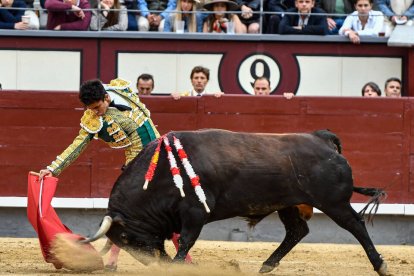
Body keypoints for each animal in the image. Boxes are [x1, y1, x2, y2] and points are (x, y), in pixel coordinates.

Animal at [88, 129, 388, 274]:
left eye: (125, 237)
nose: (153, 264)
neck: (161, 172)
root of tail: (322, 139)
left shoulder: (195, 212)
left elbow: (185, 241)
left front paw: (175, 267)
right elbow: (181, 241)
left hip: (334, 203)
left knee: (356, 225)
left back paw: (380, 266)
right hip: (288, 205)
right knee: (297, 231)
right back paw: (266, 265)